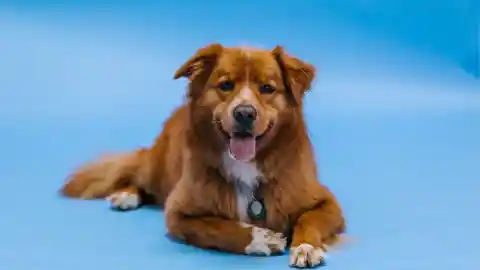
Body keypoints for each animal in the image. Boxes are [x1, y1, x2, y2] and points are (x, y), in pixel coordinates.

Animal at [60, 43, 344, 268]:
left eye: (267, 88)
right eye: (225, 85)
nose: (244, 113)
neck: (247, 167)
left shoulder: (327, 202)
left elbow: (309, 219)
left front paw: (306, 247)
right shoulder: (178, 213)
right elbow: (217, 228)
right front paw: (260, 239)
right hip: (158, 167)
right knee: (140, 177)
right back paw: (126, 195)